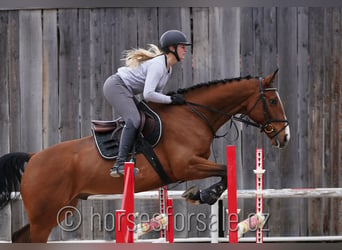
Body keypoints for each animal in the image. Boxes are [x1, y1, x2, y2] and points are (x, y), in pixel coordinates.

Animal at [0, 69, 288, 241]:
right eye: (273, 101)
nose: (285, 137)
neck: (194, 115)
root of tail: (33, 157)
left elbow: (225, 173)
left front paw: (201, 194)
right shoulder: (186, 165)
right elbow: (225, 170)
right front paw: (203, 194)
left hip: (62, 208)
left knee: (21, 237)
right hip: (45, 215)